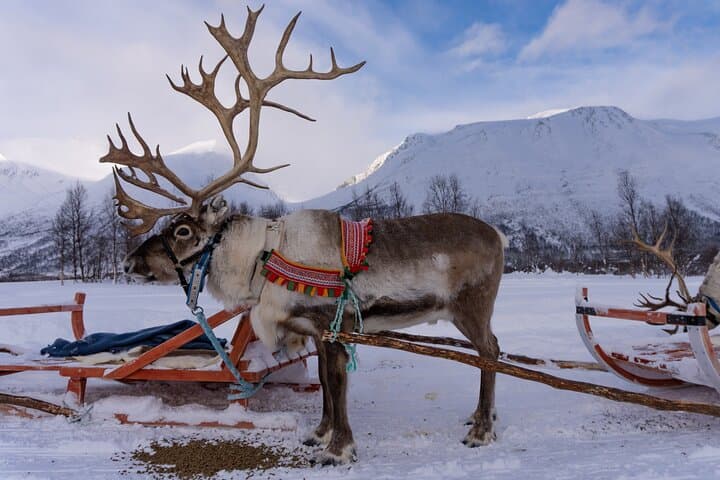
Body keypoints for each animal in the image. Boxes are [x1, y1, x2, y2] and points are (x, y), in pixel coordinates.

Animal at [108, 6, 507, 465]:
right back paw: (479, 418)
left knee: (490, 351)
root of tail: (499, 235)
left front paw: (339, 449)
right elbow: (324, 386)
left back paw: (481, 429)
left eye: (183, 230)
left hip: (472, 305)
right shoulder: (312, 332)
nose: (128, 263)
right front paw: (318, 434)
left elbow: (336, 383)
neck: (263, 257)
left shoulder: (332, 326)